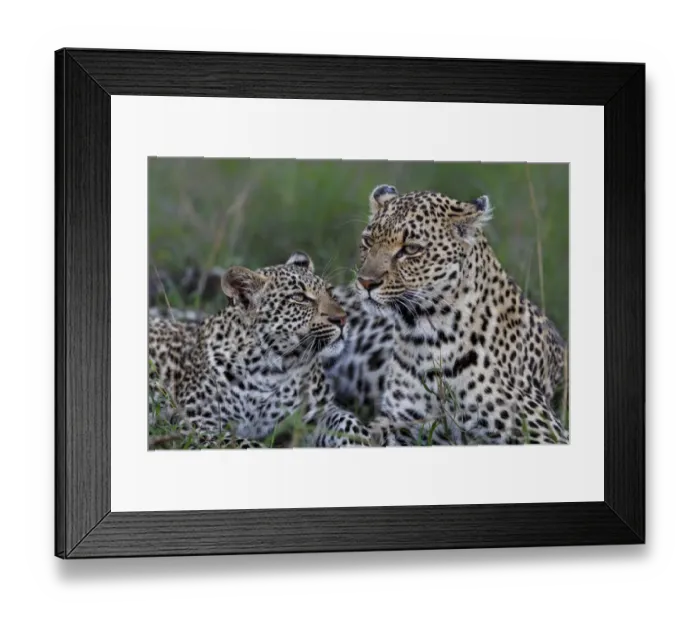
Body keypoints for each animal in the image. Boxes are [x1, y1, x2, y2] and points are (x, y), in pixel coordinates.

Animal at [148, 252, 374, 449]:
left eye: (330, 292)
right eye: (299, 298)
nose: (342, 319)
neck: (273, 369)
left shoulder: (320, 413)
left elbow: (348, 423)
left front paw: (363, 443)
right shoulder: (197, 424)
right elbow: (245, 444)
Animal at [328, 184, 568, 446]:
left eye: (411, 249)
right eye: (368, 241)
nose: (366, 282)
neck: (425, 337)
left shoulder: (545, 432)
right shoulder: (401, 423)